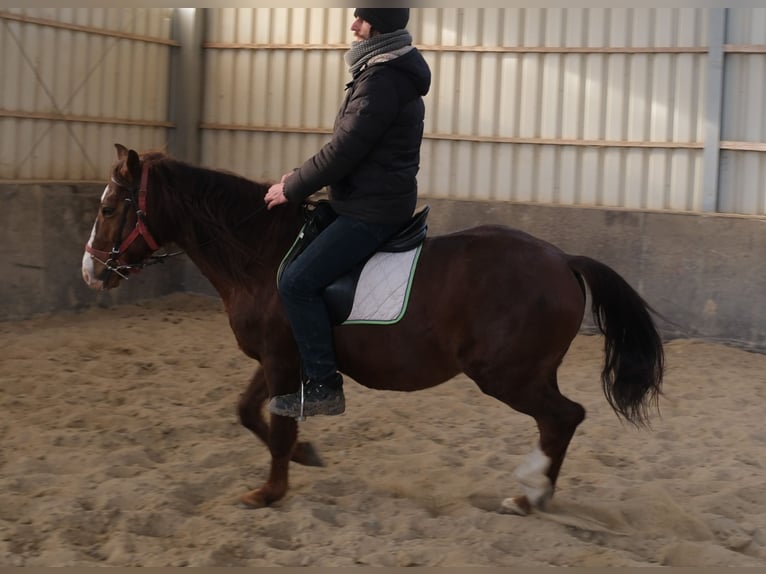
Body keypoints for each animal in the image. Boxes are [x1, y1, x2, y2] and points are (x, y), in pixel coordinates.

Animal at [81, 144, 664, 516]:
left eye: (109, 207)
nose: (90, 271)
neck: (263, 254)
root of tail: (563, 259)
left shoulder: (283, 359)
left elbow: (280, 425)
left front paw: (268, 492)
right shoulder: (277, 359)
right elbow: (249, 413)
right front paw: (304, 456)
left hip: (507, 374)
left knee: (563, 417)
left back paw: (530, 494)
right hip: (528, 373)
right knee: (559, 420)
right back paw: (534, 494)